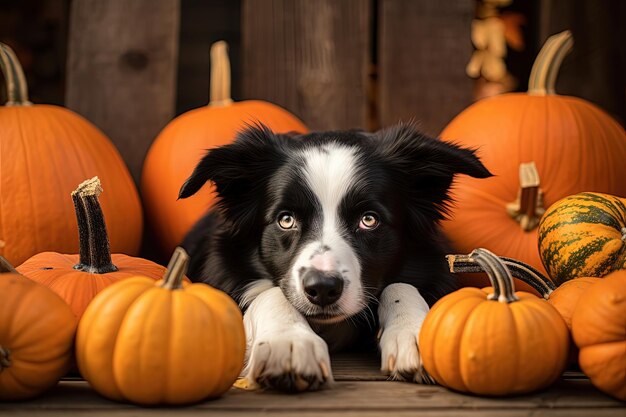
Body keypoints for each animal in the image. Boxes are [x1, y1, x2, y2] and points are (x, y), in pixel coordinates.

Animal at [178, 122, 490, 392]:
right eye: (286, 220)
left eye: (369, 220)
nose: (323, 288)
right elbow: (270, 294)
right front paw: (288, 342)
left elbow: (401, 286)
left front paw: (416, 333)